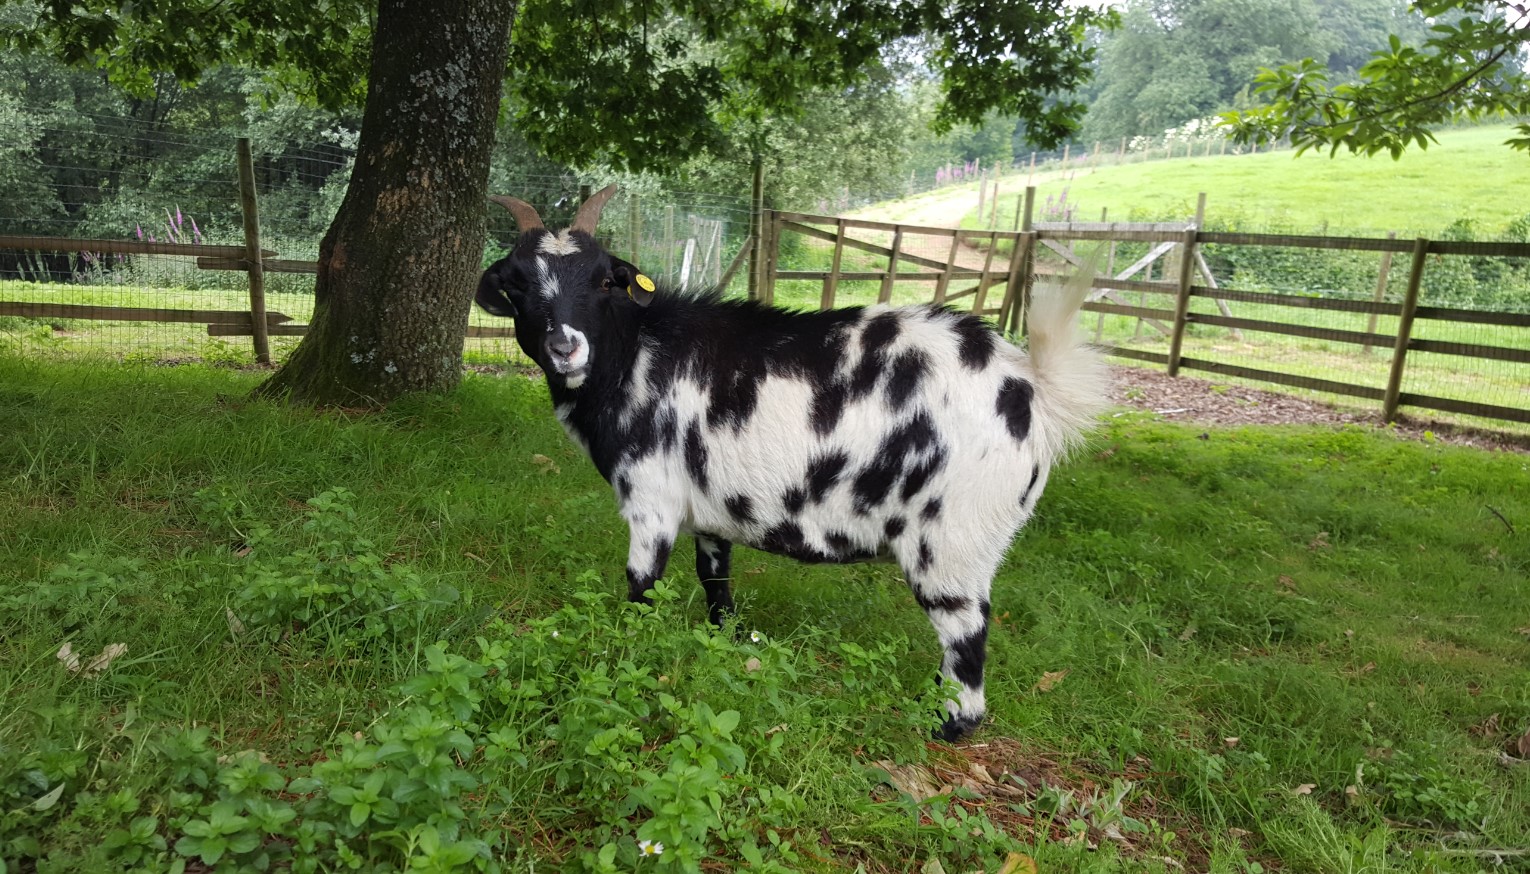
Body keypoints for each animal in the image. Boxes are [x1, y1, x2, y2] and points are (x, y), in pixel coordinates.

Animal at [475, 185, 1108, 740]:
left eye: (606, 278)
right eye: (516, 284)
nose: (565, 347)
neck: (638, 353)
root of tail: (1033, 388)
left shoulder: (650, 496)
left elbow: (642, 587)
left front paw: (627, 663)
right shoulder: (708, 505)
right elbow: (715, 578)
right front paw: (725, 644)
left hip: (954, 538)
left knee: (966, 640)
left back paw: (944, 729)